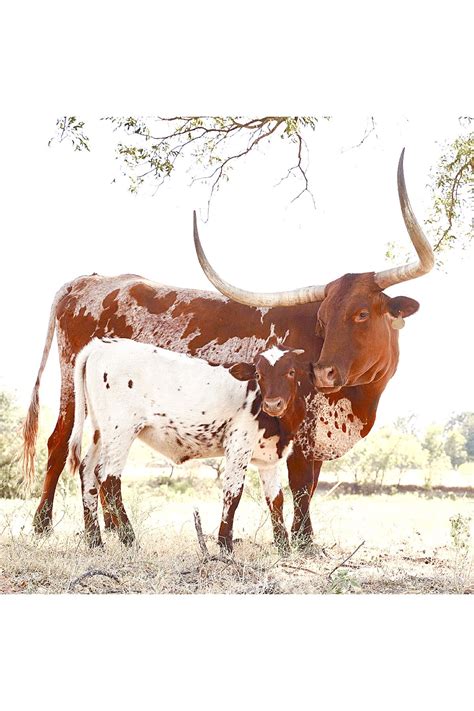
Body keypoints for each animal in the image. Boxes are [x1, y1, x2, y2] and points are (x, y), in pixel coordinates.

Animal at [68, 342, 310, 552]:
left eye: (291, 372)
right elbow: (233, 493)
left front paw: (284, 548)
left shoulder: (269, 459)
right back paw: (130, 541)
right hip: (121, 430)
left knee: (88, 471)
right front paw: (225, 545)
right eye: (258, 375)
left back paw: (95, 542)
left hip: (101, 432)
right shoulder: (239, 445)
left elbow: (276, 499)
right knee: (108, 478)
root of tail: (100, 346)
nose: (272, 404)